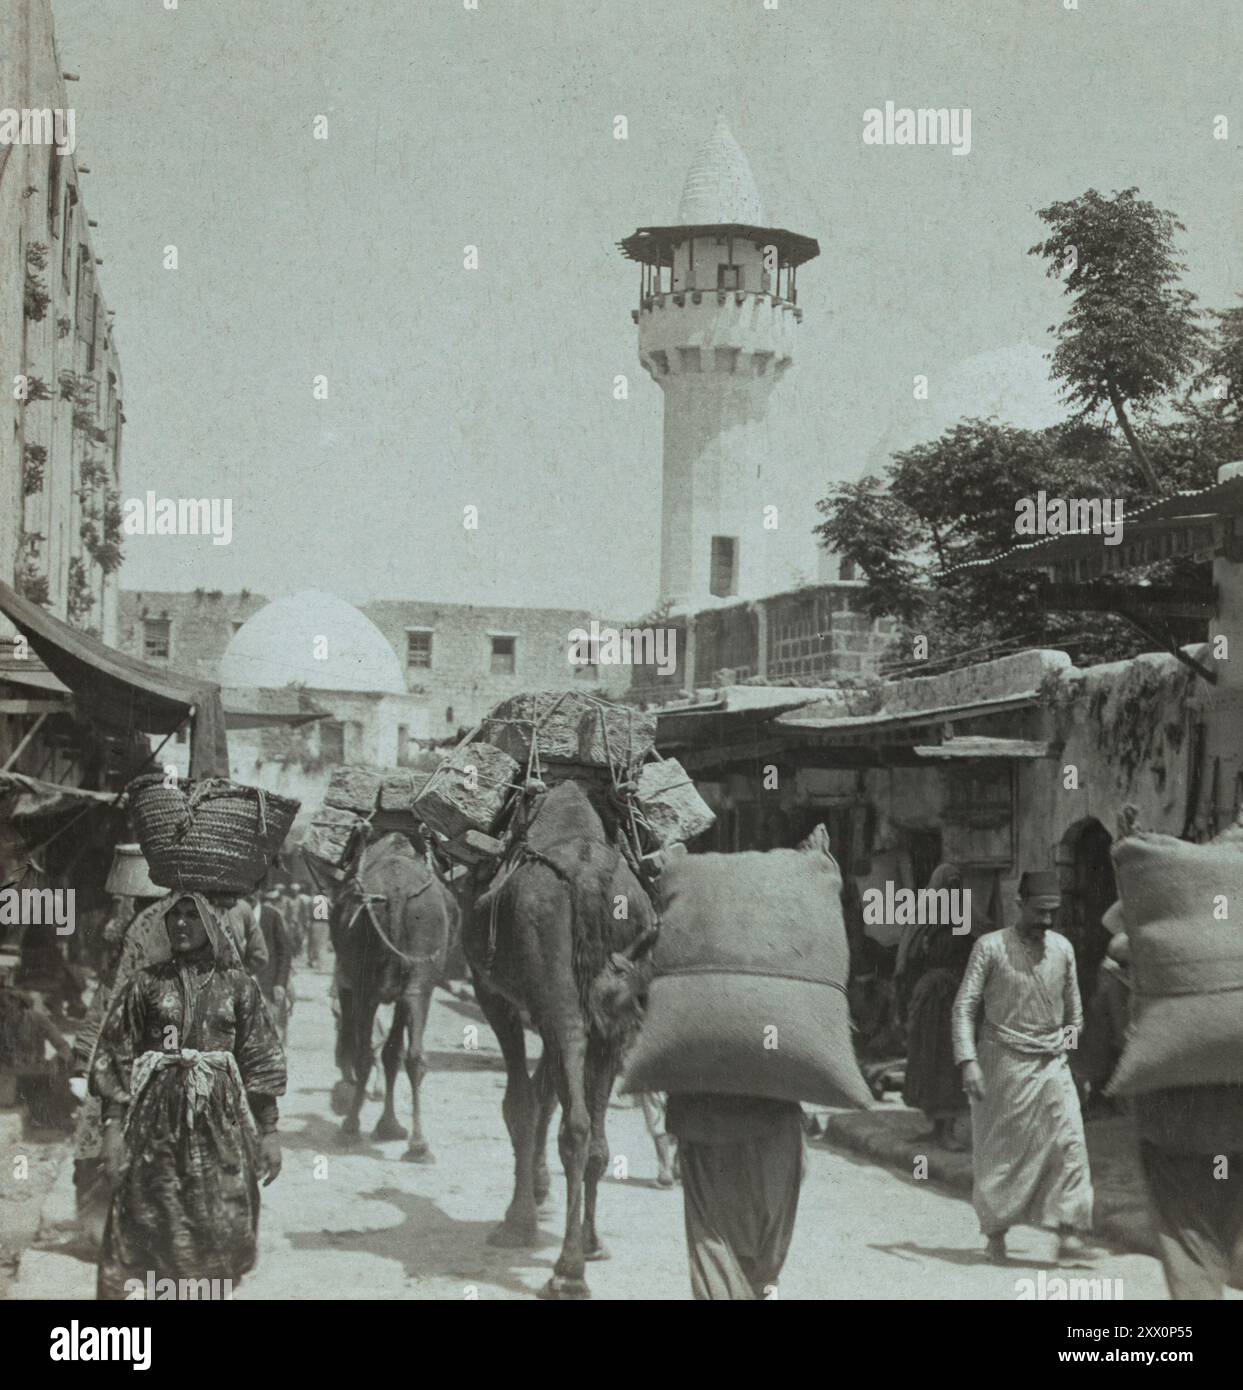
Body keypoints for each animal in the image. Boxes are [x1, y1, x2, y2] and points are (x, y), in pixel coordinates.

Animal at [333, 822, 458, 1162]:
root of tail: (399, 894)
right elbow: (392, 1053)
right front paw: (389, 1126)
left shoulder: (355, 983)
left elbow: (385, 1051)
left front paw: (386, 1125)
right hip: (417, 983)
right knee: (412, 1055)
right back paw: (418, 1144)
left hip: (368, 982)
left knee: (368, 1052)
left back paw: (352, 1126)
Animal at [464, 783, 656, 1301]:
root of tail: (588, 878)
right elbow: (545, 1095)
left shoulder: (497, 996)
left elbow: (522, 1104)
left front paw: (518, 1221)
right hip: (611, 1019)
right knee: (592, 1134)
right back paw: (586, 1248)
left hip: (559, 1001)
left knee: (572, 1123)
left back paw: (566, 1271)